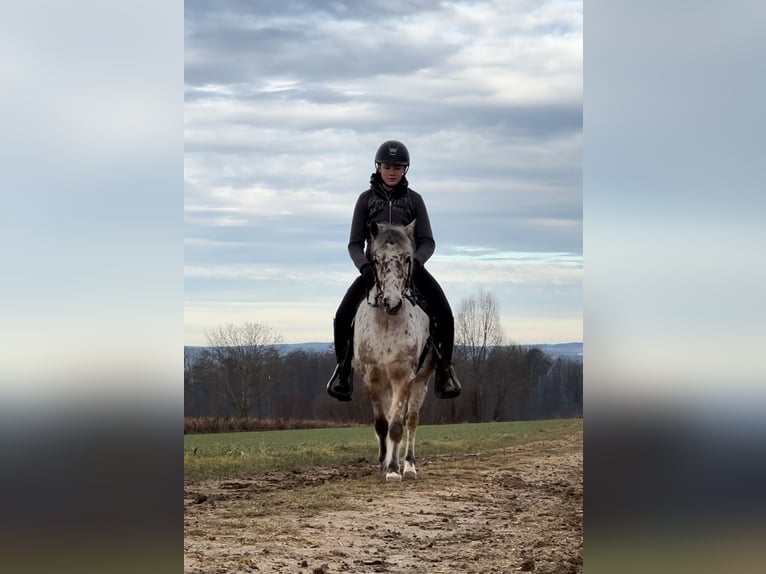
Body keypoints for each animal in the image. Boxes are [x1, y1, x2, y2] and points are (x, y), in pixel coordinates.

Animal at [352, 220, 436, 482]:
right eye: (376, 259)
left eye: (408, 258)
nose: (392, 302)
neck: (387, 323)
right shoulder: (372, 378)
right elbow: (382, 424)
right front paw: (383, 464)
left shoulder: (404, 377)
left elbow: (397, 425)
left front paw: (392, 470)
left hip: (421, 381)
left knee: (411, 420)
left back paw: (407, 466)